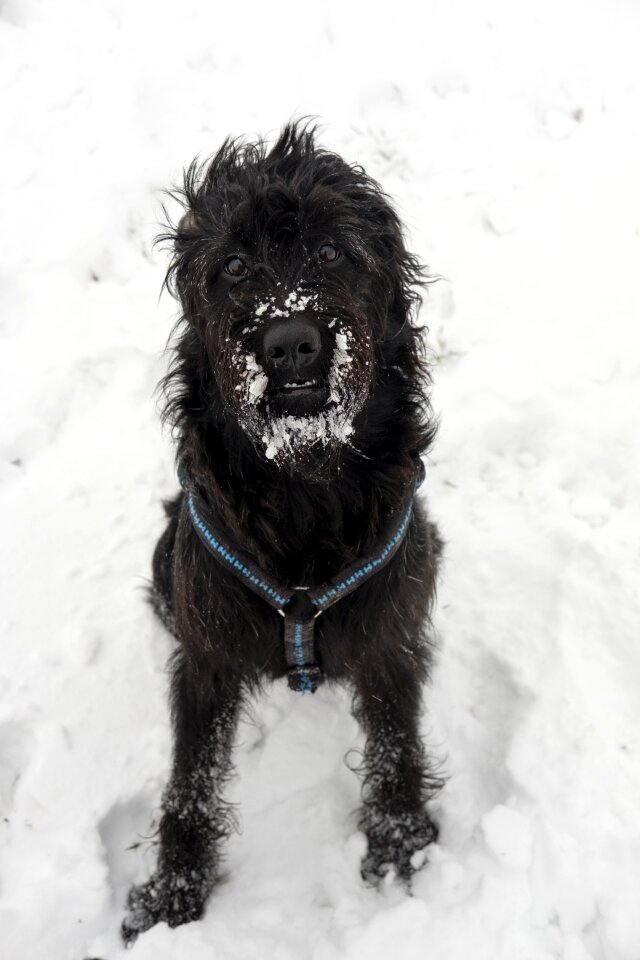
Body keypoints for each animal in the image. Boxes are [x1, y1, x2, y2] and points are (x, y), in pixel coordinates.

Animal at [122, 124, 442, 940]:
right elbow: (192, 778)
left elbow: (395, 741)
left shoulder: (390, 635)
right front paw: (173, 893)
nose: (292, 342)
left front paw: (402, 846)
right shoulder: (205, 657)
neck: (303, 485)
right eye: (233, 266)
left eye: (331, 251)